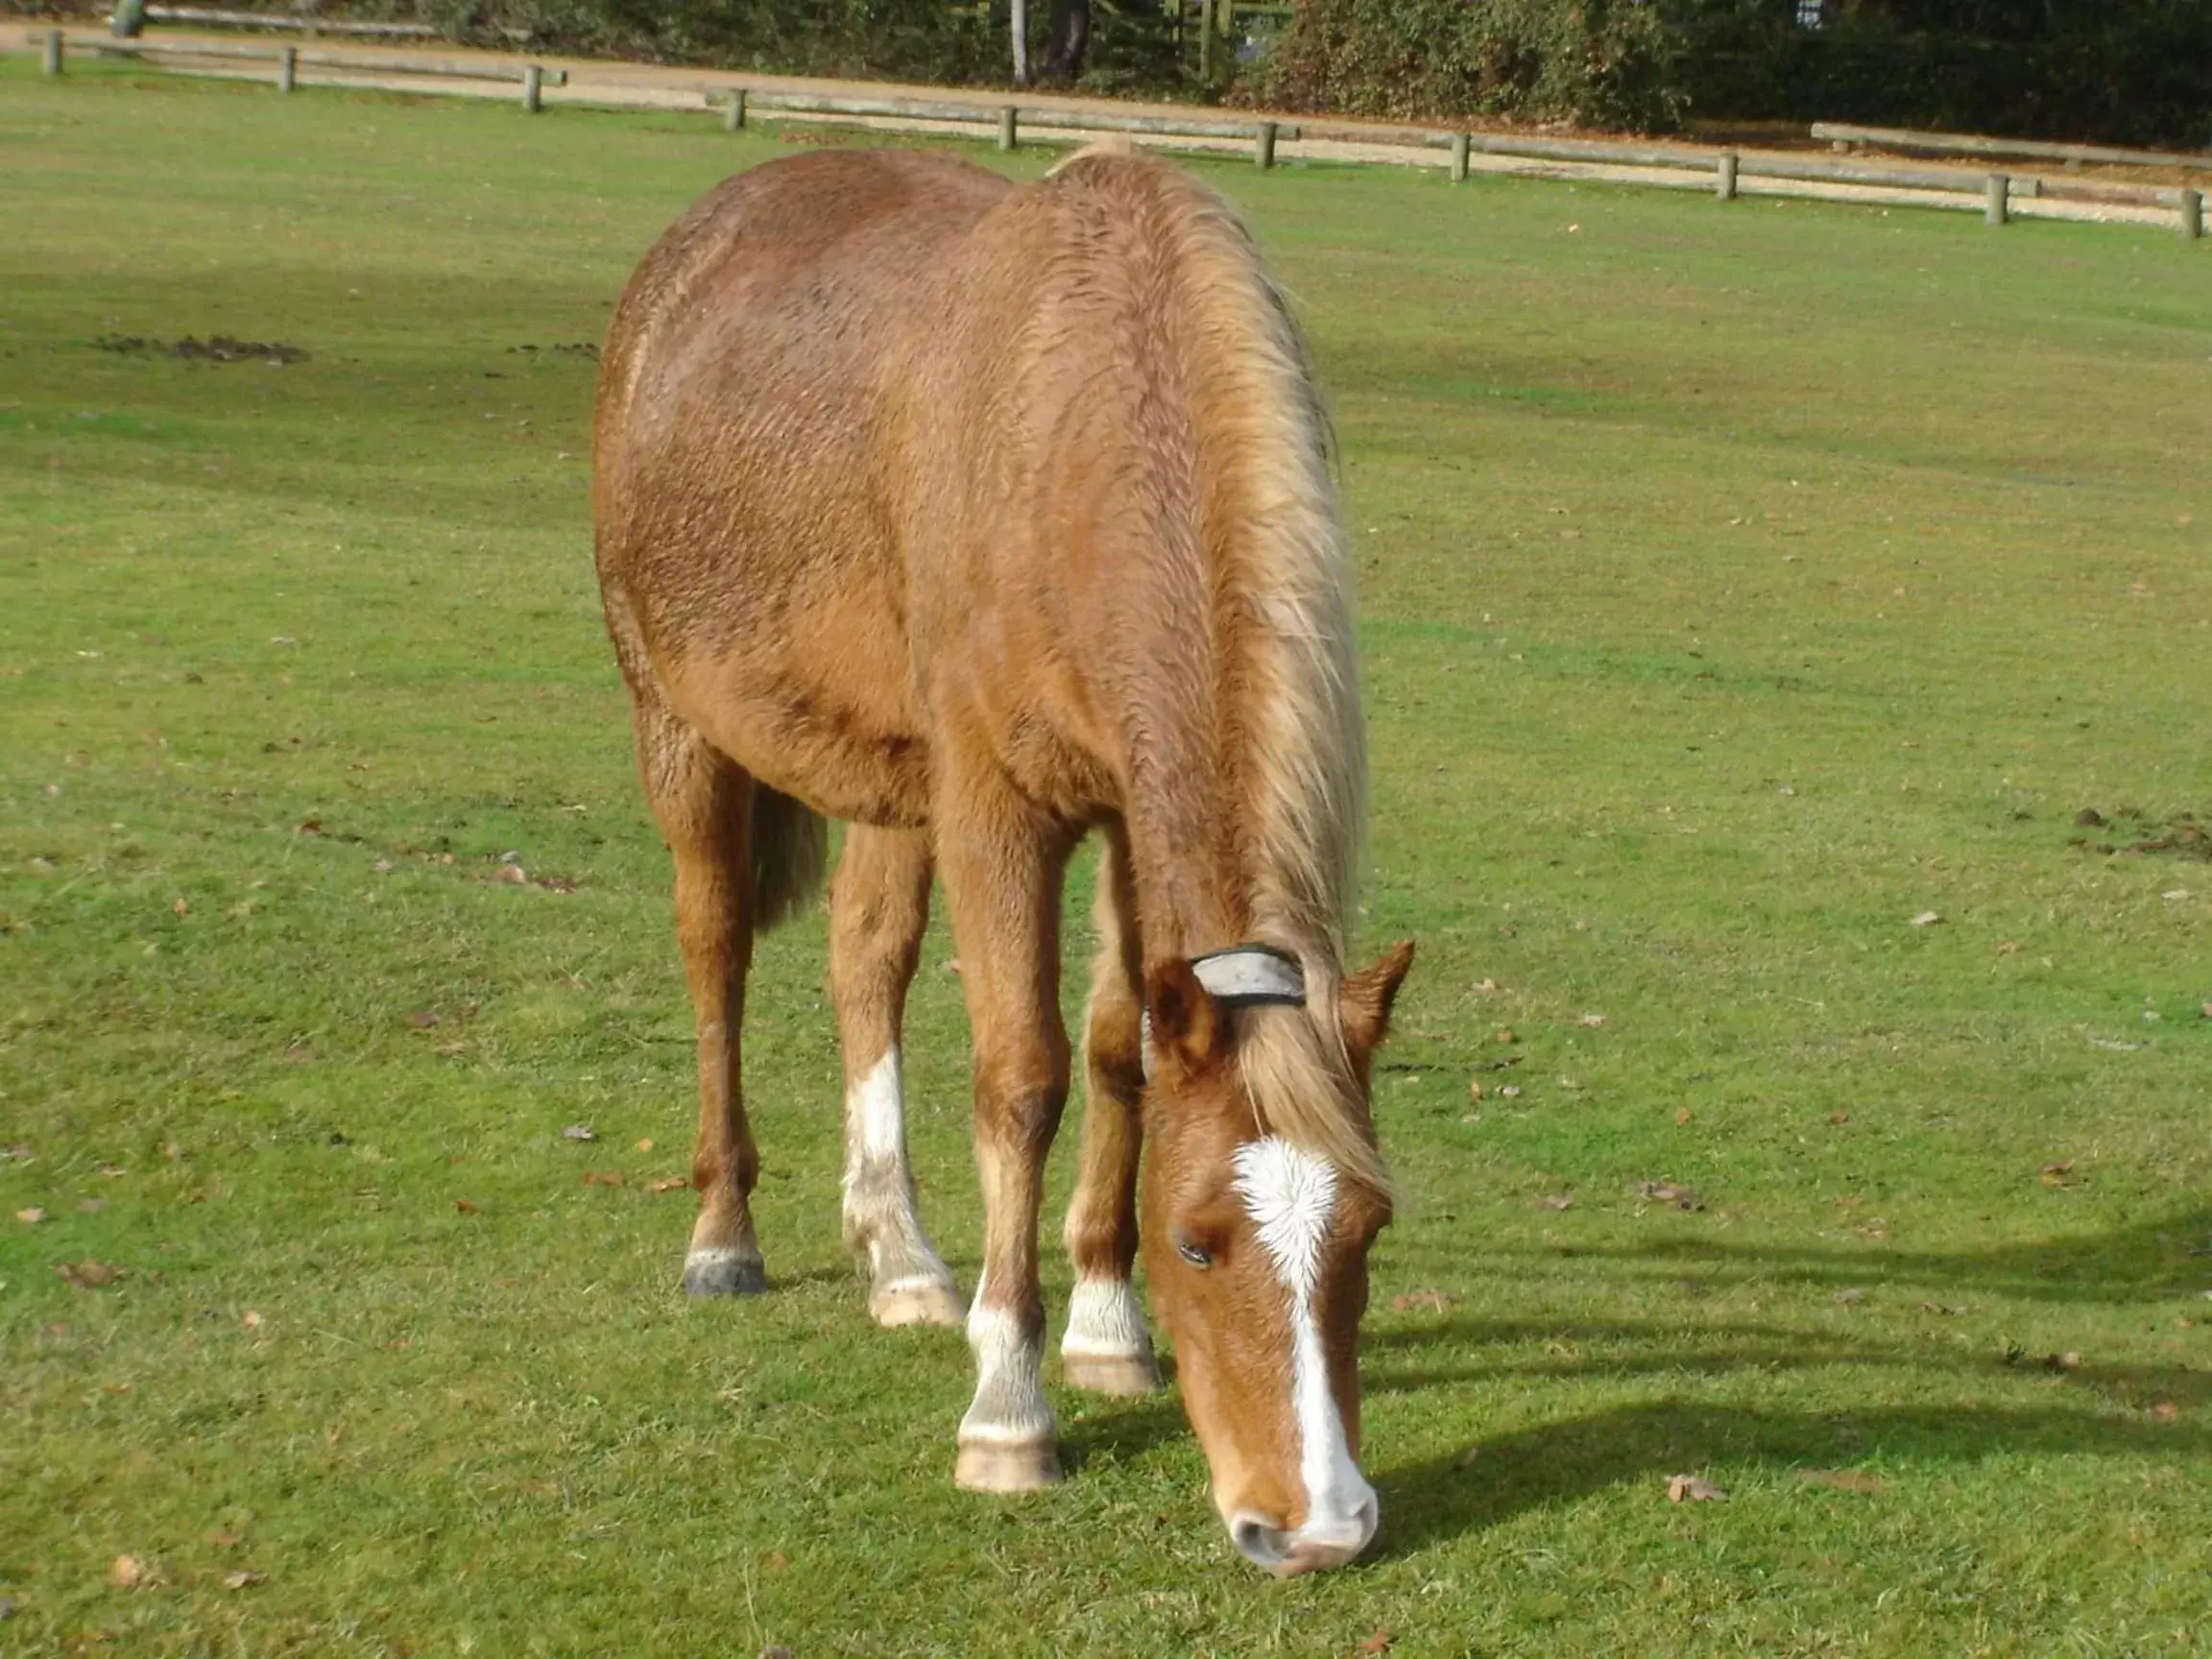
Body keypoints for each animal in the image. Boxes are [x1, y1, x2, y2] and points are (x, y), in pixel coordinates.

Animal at [597, 139, 1407, 1575]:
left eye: (1367, 1228)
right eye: (1201, 1244)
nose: (1316, 1528)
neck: (1082, 444)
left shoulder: (1126, 812)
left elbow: (1116, 1053)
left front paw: (1103, 1328)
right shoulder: (996, 807)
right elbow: (1022, 1078)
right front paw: (1010, 1409)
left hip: (887, 777)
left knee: (865, 962)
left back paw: (903, 1253)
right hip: (680, 728)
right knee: (716, 956)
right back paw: (724, 1235)